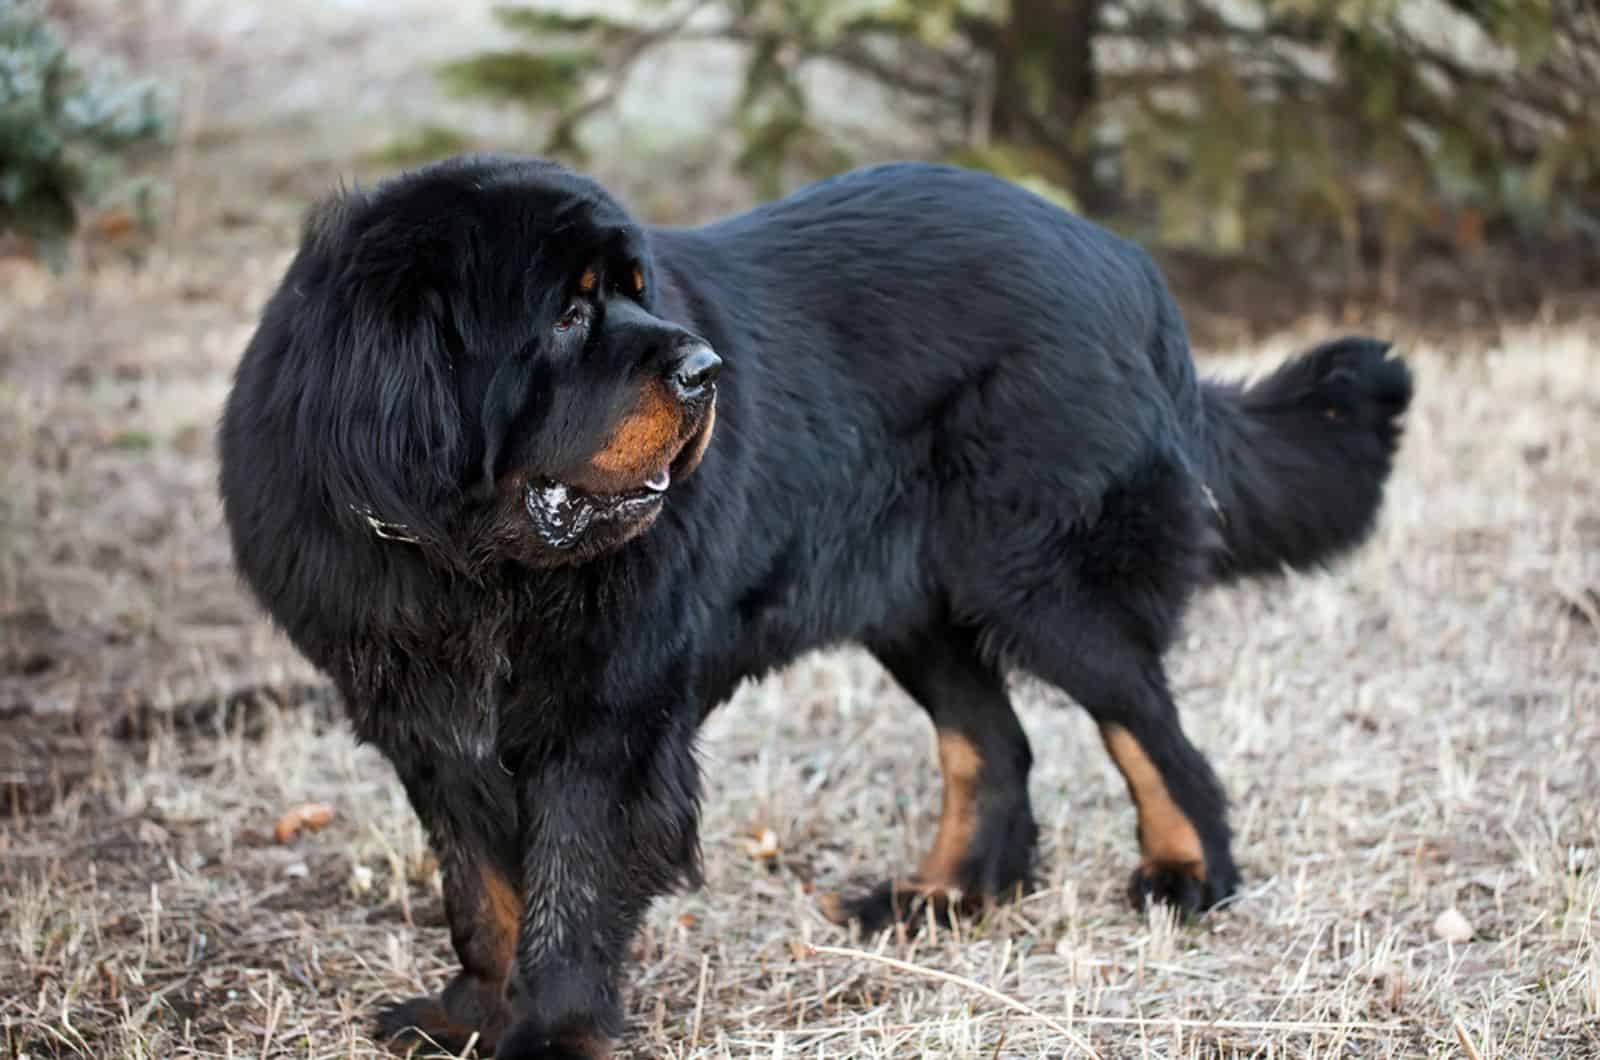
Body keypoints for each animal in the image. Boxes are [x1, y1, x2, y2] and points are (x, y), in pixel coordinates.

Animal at [222, 153, 1414, 1056]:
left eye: (633, 289)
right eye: (564, 313)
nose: (704, 370)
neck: (467, 559)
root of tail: (1124, 261)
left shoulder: (605, 722)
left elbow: (568, 889)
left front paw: (551, 1033)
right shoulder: (427, 728)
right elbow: (479, 893)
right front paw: (469, 1015)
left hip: (1043, 583)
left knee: (1152, 731)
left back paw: (1187, 877)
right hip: (915, 606)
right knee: (995, 742)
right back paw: (939, 900)